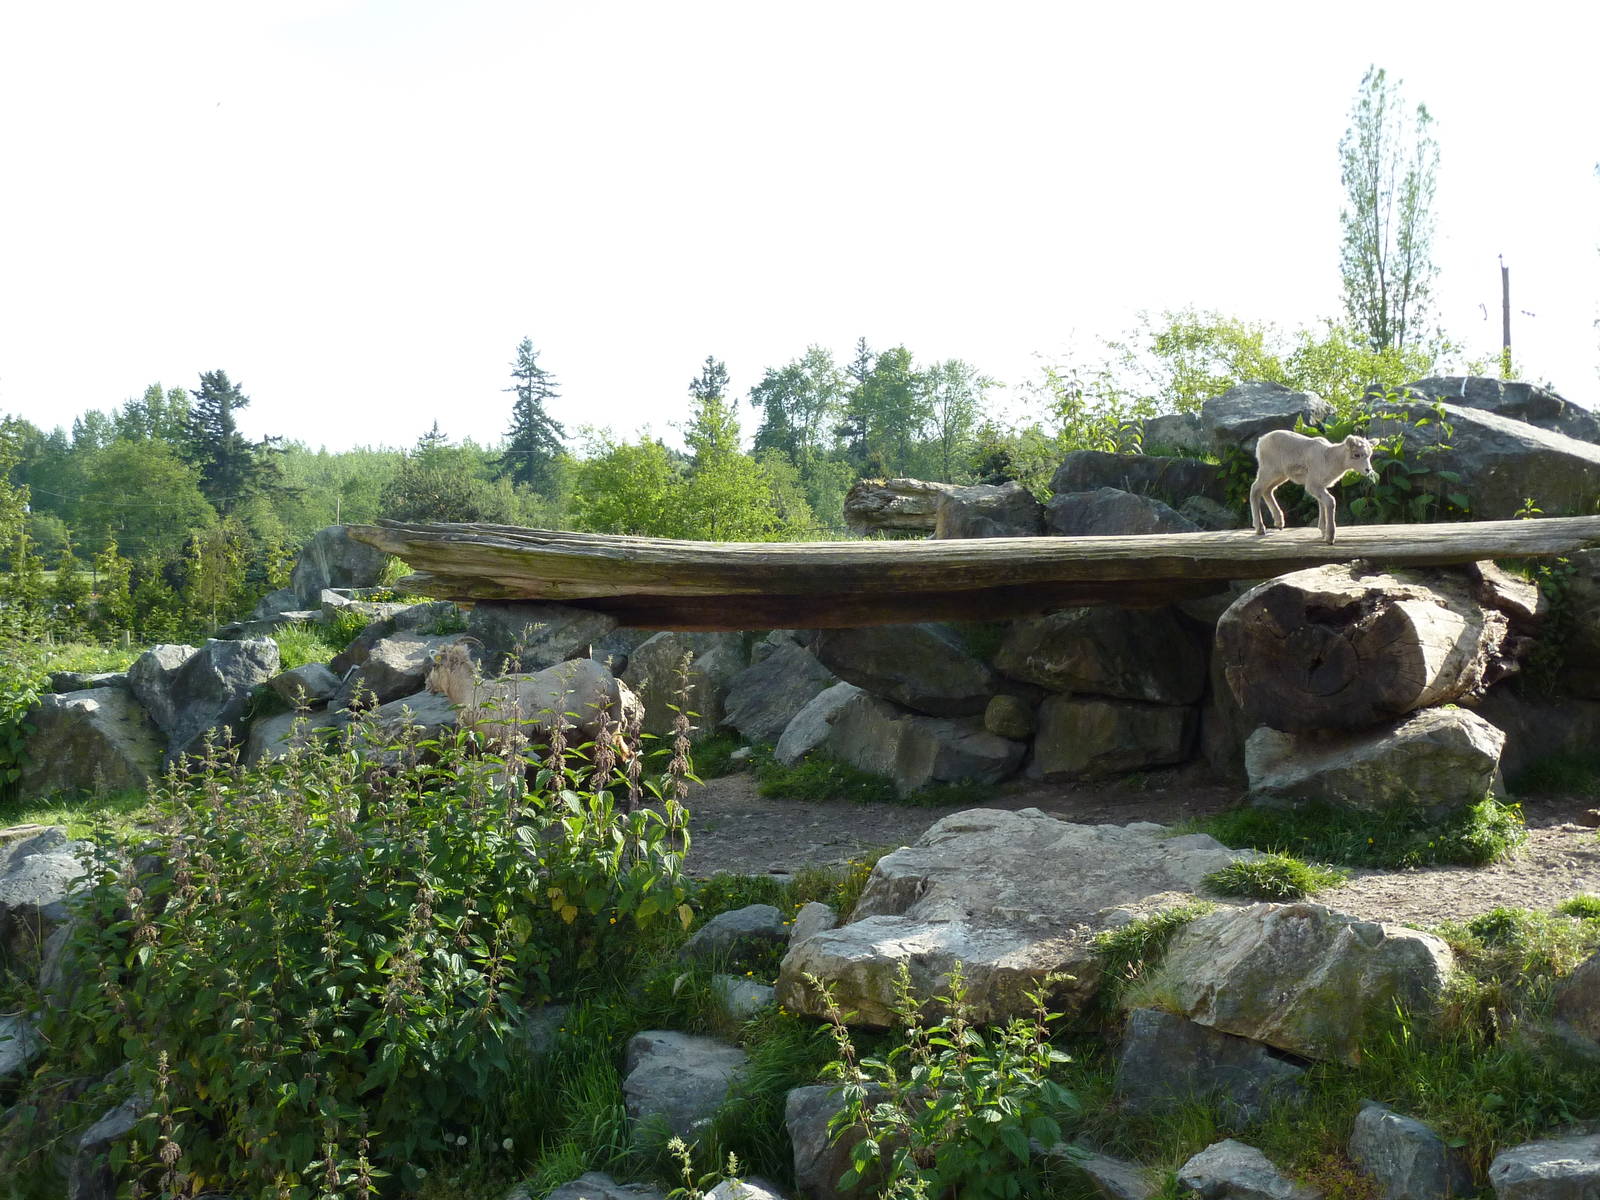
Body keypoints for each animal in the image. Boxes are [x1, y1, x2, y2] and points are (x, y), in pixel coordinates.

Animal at [1249, 429, 1379, 544]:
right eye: (1356, 455)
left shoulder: (1320, 486)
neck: (1329, 459)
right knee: (1255, 489)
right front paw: (1329, 538)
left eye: (1369, 455)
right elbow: (1330, 501)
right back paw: (1260, 529)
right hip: (1268, 471)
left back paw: (1279, 523)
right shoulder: (1312, 485)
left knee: (1267, 490)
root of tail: (1261, 441)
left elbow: (1322, 503)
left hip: (1280, 475)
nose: (1368, 470)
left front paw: (1323, 531)